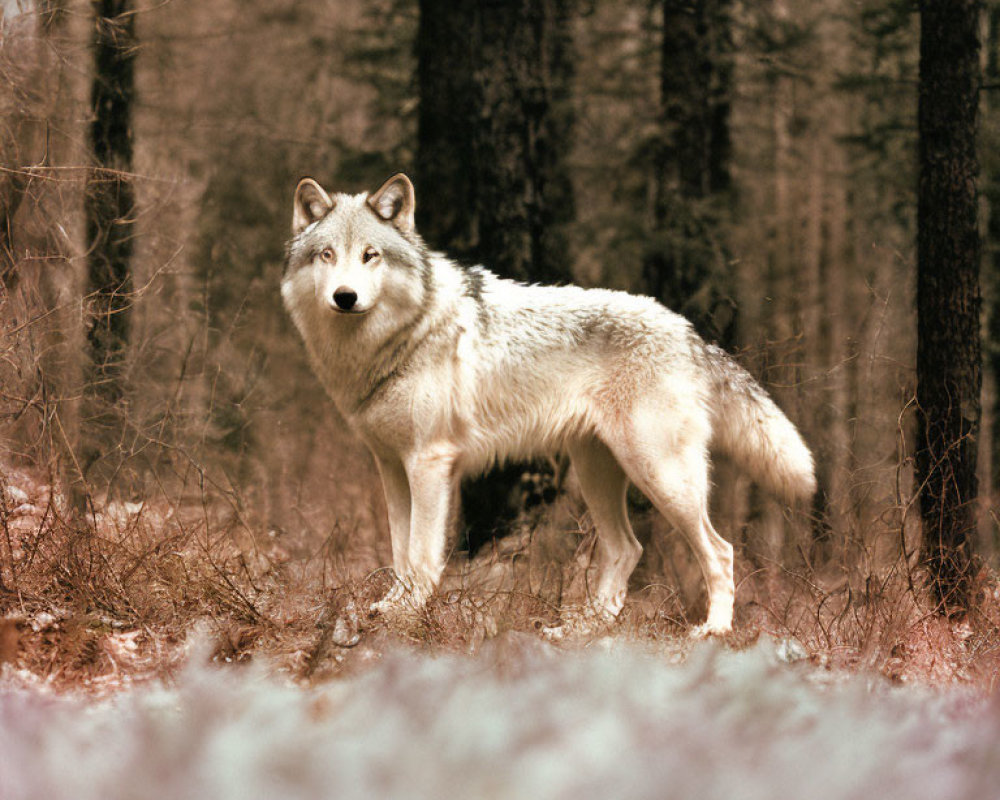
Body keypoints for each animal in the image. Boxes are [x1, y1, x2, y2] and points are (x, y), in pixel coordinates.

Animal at [282, 175, 812, 636]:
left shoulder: (429, 463)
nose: (345, 296)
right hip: (599, 474)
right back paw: (580, 629)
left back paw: (713, 630)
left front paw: (406, 615)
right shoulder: (392, 466)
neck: (400, 336)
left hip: (661, 477)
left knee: (720, 551)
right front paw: (388, 606)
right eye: (327, 254)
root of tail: (689, 331)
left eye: (370, 255)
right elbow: (399, 550)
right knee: (627, 549)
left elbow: (421, 554)